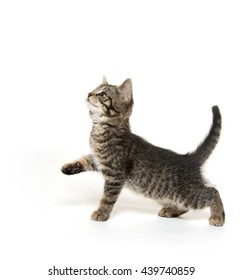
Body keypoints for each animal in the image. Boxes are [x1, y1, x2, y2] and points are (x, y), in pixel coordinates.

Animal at [61, 77, 225, 226]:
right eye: (94, 89)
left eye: (102, 94)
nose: (89, 94)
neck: (102, 128)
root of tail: (189, 159)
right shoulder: (97, 159)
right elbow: (84, 159)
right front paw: (68, 168)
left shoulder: (115, 175)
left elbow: (107, 198)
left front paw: (101, 212)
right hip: (165, 195)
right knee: (186, 206)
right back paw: (171, 210)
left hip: (185, 194)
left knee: (212, 192)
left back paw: (218, 217)